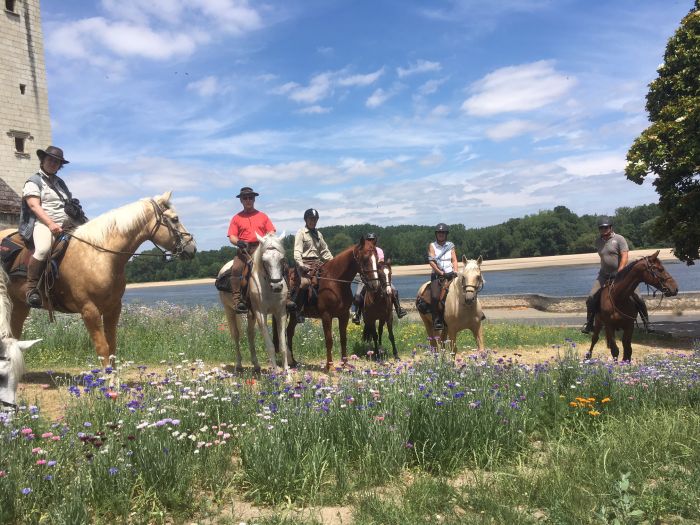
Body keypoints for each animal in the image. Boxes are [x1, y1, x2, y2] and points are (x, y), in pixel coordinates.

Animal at [1, 190, 197, 366]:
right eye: (175, 219)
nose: (192, 248)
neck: (100, 256)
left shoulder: (113, 308)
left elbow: (112, 347)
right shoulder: (89, 310)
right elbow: (102, 349)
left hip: (20, 304)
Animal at [217, 232, 292, 372]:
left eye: (282, 259)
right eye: (264, 261)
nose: (277, 286)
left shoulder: (281, 313)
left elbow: (283, 346)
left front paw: (287, 372)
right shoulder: (260, 314)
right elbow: (270, 346)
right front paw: (276, 372)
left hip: (250, 314)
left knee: (250, 334)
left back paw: (256, 365)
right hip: (229, 311)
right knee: (236, 335)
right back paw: (239, 365)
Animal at [284, 237, 380, 368]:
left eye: (377, 258)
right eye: (365, 259)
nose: (375, 284)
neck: (335, 282)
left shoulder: (344, 315)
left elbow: (343, 339)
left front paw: (345, 363)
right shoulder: (326, 316)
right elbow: (329, 340)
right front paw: (330, 366)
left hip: (293, 316)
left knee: (289, 332)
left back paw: (292, 361)